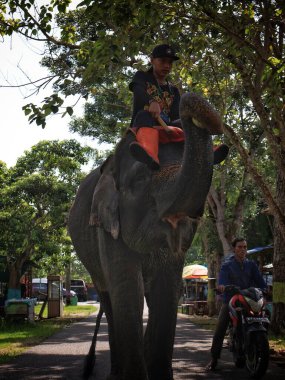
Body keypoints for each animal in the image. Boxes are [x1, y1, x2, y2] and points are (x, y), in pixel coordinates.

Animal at [67, 93, 223, 380]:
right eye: (140, 179)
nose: (190, 103)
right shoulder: (108, 229)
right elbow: (129, 291)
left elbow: (166, 291)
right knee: (108, 299)